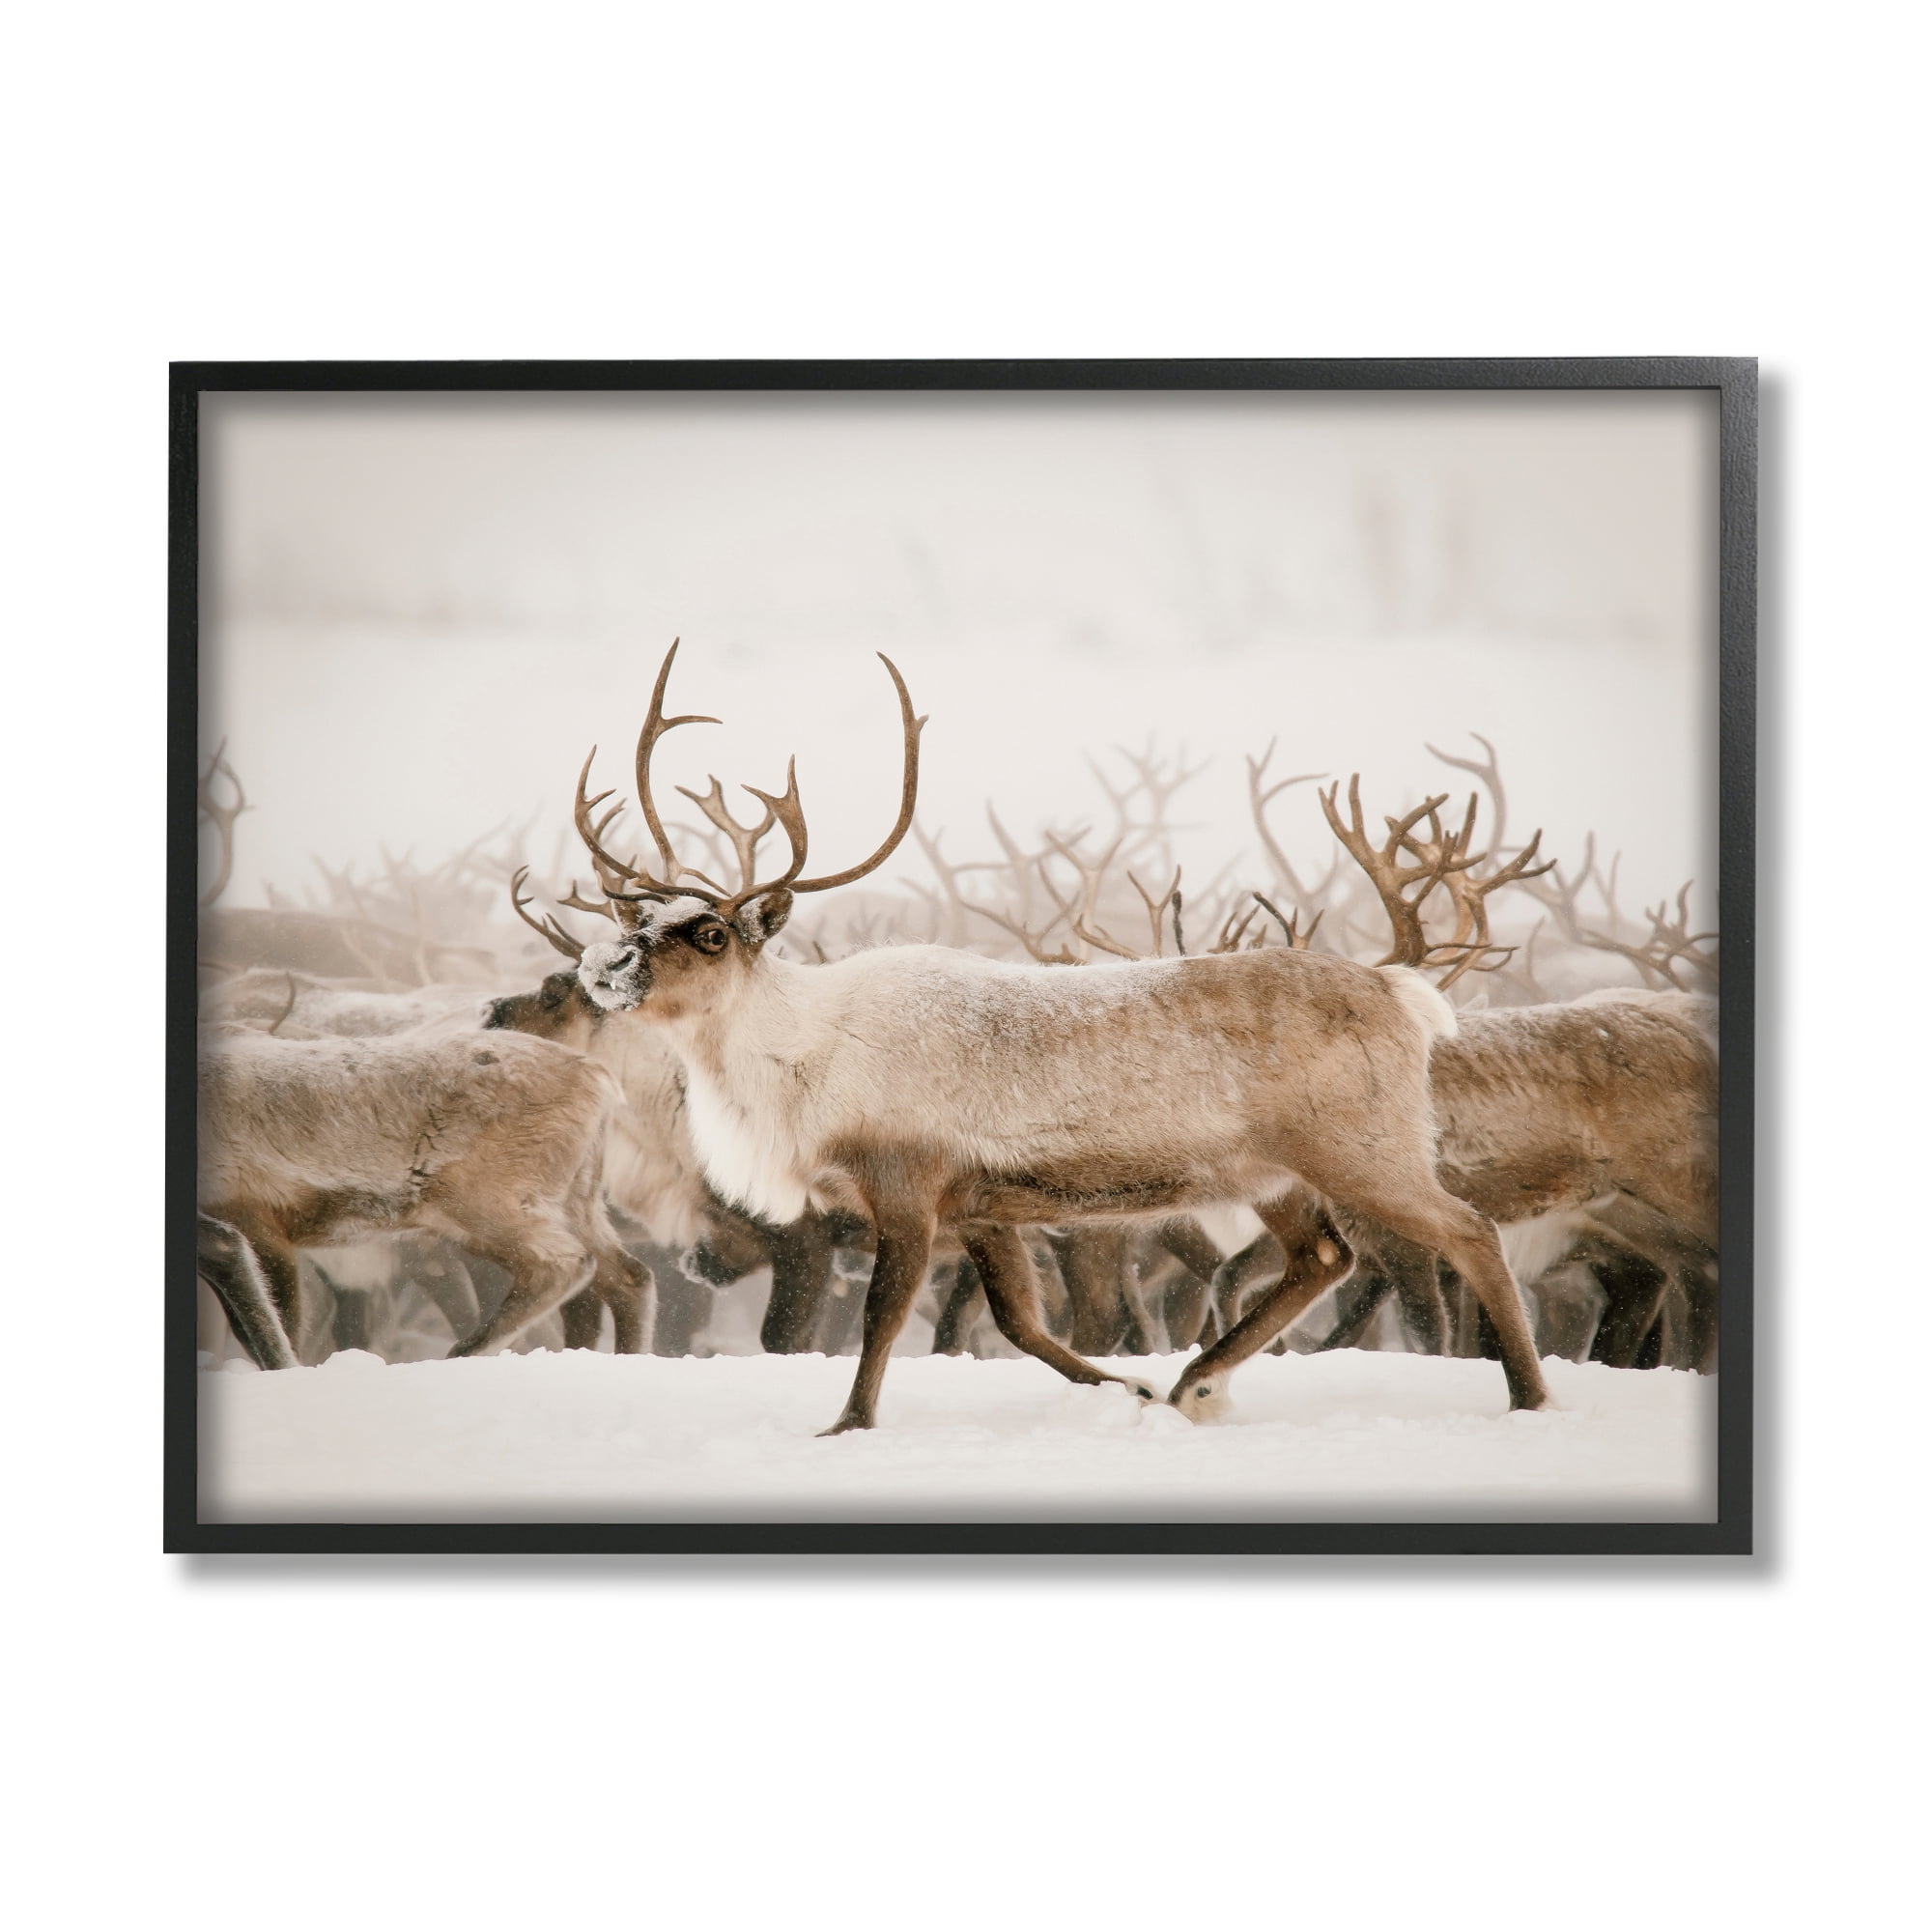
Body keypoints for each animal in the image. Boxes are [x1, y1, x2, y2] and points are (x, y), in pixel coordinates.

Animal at [556, 640, 1552, 1432]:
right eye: (638, 914)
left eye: (710, 933)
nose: (604, 963)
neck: (800, 1060)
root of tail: (1401, 990)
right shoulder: (984, 1207)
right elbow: (1022, 1325)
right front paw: (1127, 1389)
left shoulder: (906, 1184)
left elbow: (884, 1318)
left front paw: (847, 1426)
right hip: (1275, 1173)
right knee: (1323, 1258)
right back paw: (1194, 1383)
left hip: (1362, 1149)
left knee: (1467, 1231)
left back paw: (1529, 1396)